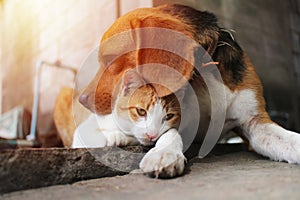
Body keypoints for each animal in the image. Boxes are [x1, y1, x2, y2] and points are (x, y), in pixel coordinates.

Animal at [54, 4, 300, 177]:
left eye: (110, 59)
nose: (83, 99)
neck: (202, 74)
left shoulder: (255, 122)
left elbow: (289, 140)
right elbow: (170, 133)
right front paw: (164, 154)